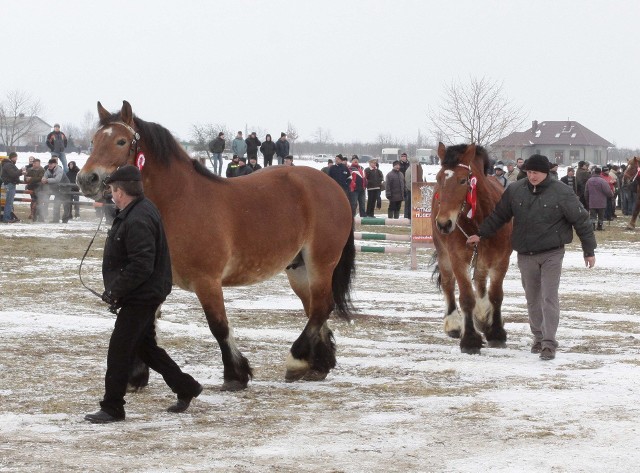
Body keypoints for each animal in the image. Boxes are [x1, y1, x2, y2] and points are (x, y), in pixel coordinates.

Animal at [76, 101, 356, 390]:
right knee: (315, 309)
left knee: (322, 307)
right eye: (93, 140)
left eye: (121, 141)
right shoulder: (155, 280)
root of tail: (332, 186)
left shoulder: (207, 281)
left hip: (320, 262)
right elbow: (146, 327)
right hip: (298, 269)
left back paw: (297, 360)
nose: (86, 179)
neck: (179, 200)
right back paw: (318, 364)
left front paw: (235, 374)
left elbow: (218, 325)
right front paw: (137, 376)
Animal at [432, 142, 512, 352]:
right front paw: (469, 339)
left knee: (481, 284)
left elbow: (496, 295)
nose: (443, 223)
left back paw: (483, 317)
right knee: (448, 284)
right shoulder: (458, 259)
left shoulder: (501, 260)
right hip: (444, 254)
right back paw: (453, 323)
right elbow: (467, 297)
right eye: (438, 178)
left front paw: (496, 332)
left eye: (462, 180)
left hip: (483, 260)